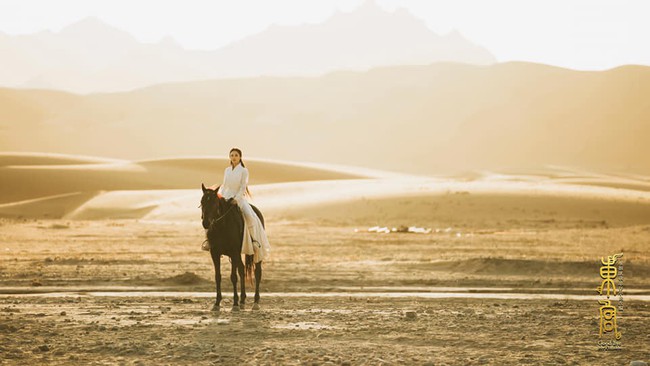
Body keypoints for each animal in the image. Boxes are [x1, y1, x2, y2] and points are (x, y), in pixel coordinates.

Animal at [201, 183, 264, 312]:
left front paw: (235, 304)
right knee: (242, 269)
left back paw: (255, 302)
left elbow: (233, 277)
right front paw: (217, 303)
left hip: (255, 253)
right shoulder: (215, 253)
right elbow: (218, 277)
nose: (206, 223)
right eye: (202, 202)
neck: (222, 226)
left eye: (214, 203)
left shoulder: (234, 252)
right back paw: (243, 301)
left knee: (257, 272)